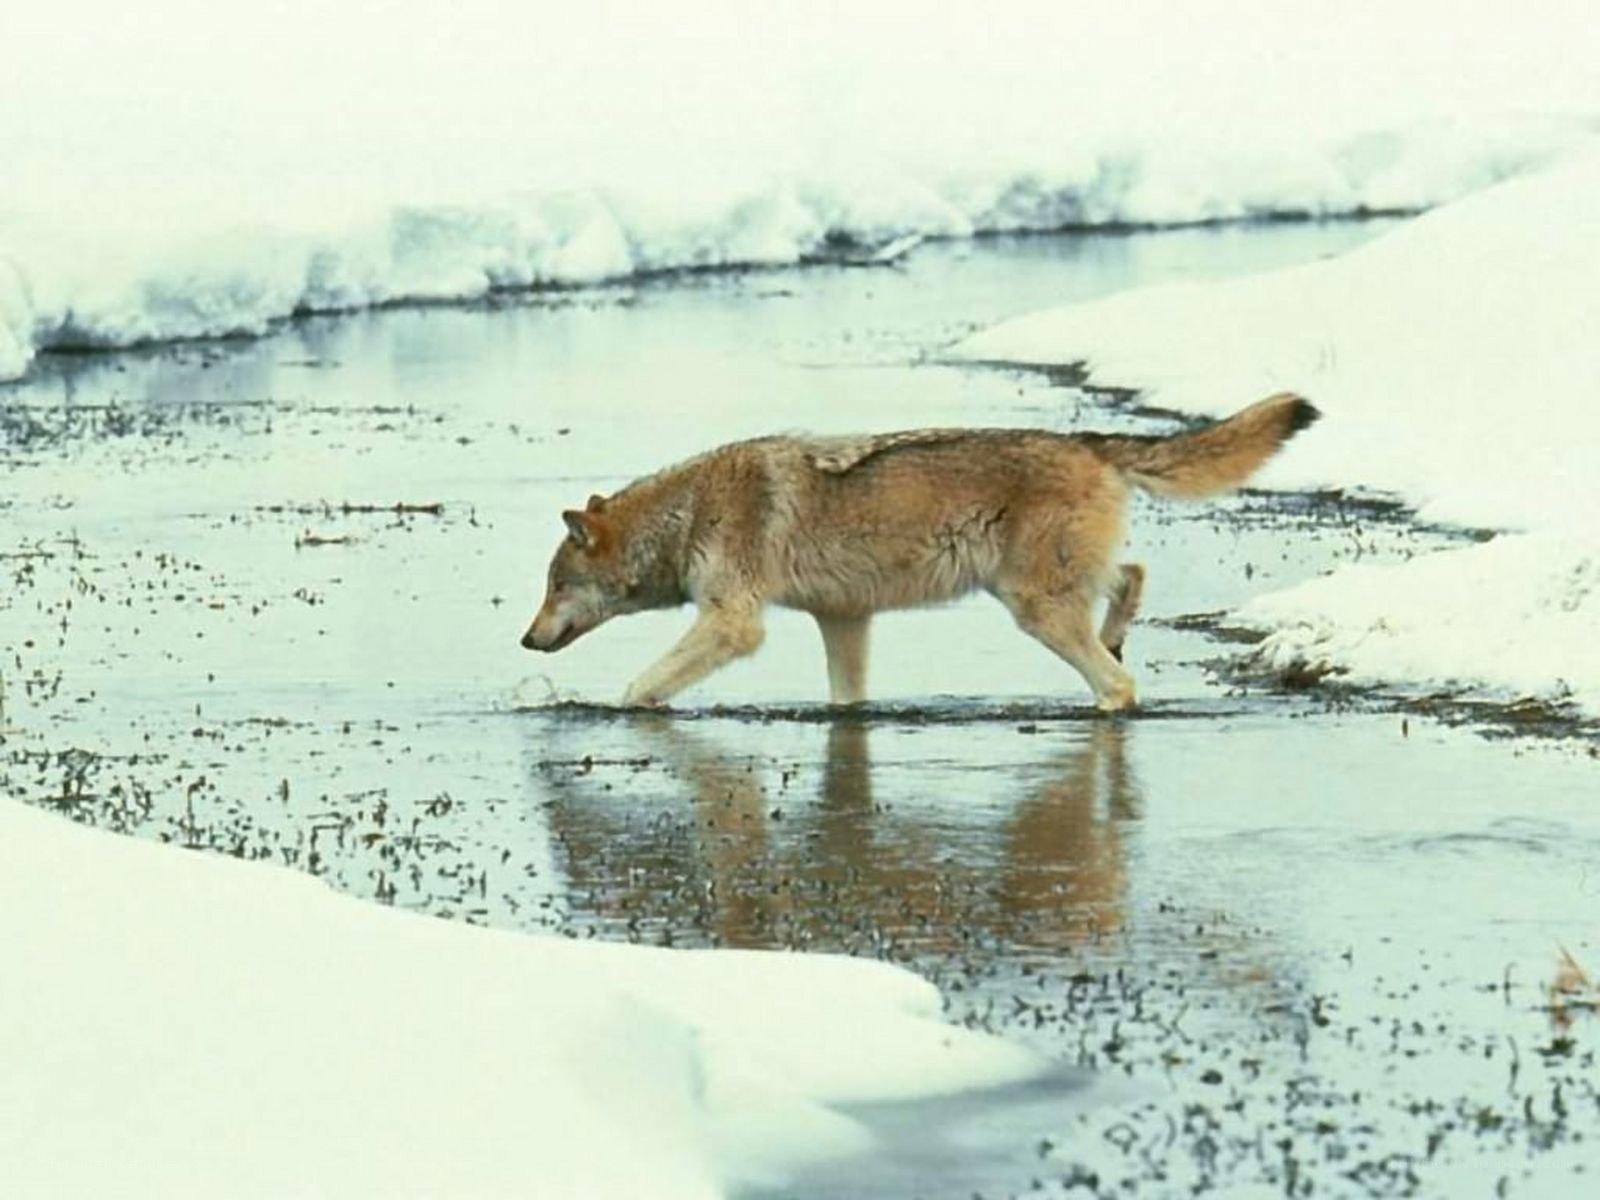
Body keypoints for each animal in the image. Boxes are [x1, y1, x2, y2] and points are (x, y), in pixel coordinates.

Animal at [521, 392, 1317, 711]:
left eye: (555, 584)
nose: (527, 640)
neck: (689, 515)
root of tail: (1085, 441)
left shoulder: (733, 623)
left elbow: (639, 687)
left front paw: (624, 707)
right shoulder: (843, 619)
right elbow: (847, 699)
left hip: (1032, 607)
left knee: (1118, 686)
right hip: (1041, 588)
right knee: (1131, 578)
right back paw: (1118, 634)